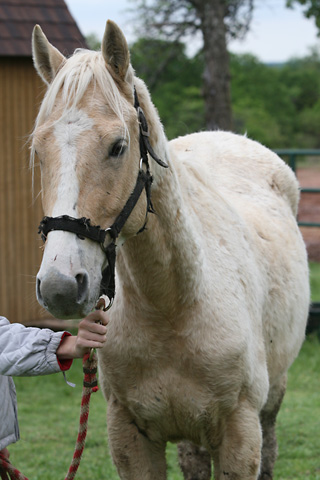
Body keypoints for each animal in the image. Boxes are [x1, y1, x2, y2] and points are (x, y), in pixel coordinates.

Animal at [31, 19, 310, 480]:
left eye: (118, 147)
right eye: (38, 151)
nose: (60, 286)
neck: (175, 303)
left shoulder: (241, 437)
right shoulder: (130, 437)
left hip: (272, 402)